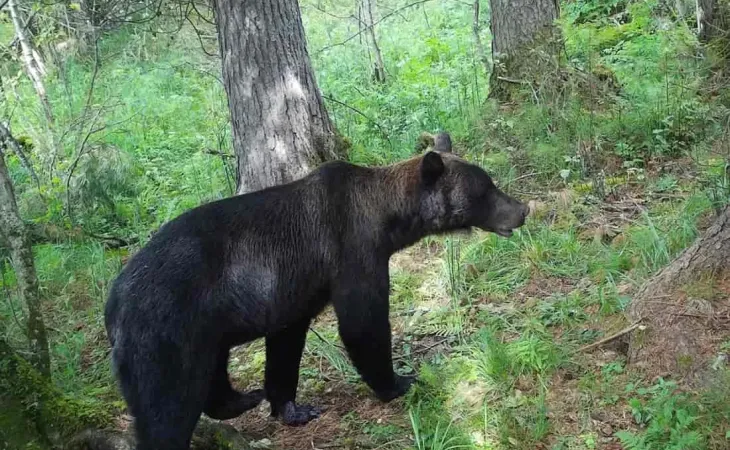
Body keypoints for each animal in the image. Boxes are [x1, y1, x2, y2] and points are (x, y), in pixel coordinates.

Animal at [104, 132, 529, 450]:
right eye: (486, 190)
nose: (522, 210)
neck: (387, 220)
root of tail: (114, 303)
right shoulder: (353, 250)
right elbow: (362, 322)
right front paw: (398, 381)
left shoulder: (291, 292)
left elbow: (286, 343)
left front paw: (292, 407)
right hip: (166, 329)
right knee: (166, 407)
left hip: (203, 327)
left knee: (210, 371)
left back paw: (241, 398)